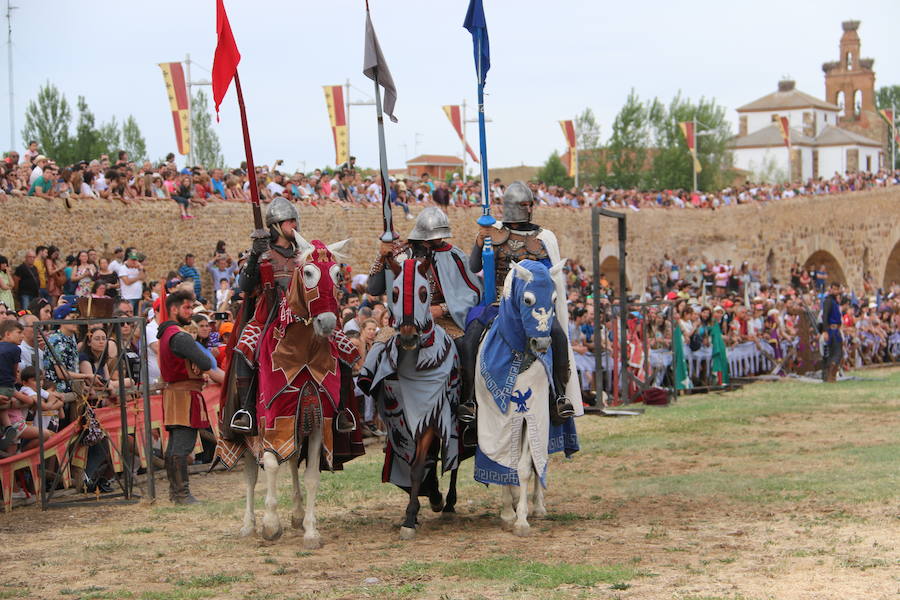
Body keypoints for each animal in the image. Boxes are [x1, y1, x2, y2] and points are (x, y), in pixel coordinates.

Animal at [215, 238, 362, 548]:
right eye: (308, 273)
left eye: (337, 274)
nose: (327, 322)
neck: (302, 354)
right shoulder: (271, 422)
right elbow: (270, 466)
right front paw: (271, 525)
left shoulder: (317, 422)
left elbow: (311, 475)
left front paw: (311, 531)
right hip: (244, 433)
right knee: (250, 475)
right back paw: (249, 525)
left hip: (297, 425)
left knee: (293, 459)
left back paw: (296, 514)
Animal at [356, 256, 460, 540]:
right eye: (393, 293)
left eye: (424, 293)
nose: (408, 336)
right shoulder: (398, 421)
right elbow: (416, 463)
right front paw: (422, 503)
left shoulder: (430, 417)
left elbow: (418, 466)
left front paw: (414, 515)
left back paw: (449, 503)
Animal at [472, 258, 568, 536]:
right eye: (527, 300)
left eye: (554, 298)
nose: (542, 345)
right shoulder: (498, 420)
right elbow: (505, 463)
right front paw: (507, 512)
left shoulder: (531, 415)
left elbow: (525, 467)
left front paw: (522, 519)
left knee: (538, 462)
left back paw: (538, 506)